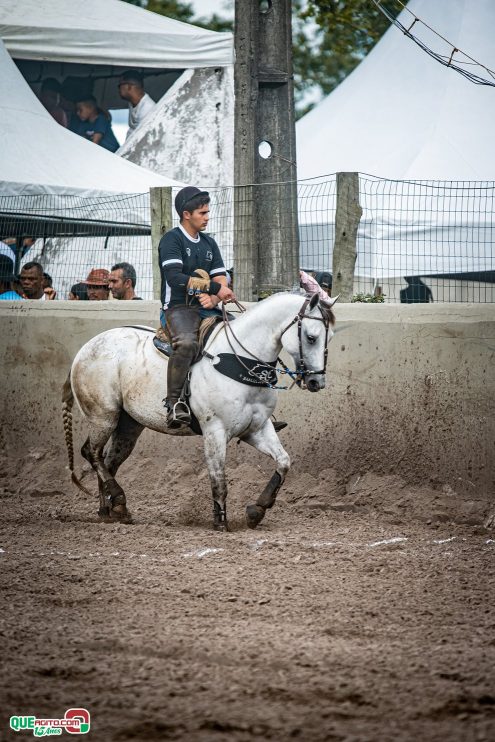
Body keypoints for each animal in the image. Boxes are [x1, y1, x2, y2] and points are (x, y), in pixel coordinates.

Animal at [63, 290, 338, 528]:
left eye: (330, 338)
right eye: (311, 337)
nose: (317, 382)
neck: (240, 361)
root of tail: (85, 348)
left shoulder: (257, 429)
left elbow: (283, 462)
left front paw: (257, 510)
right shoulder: (215, 431)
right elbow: (218, 478)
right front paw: (221, 522)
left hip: (129, 425)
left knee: (109, 462)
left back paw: (112, 511)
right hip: (104, 417)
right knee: (92, 453)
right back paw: (116, 500)